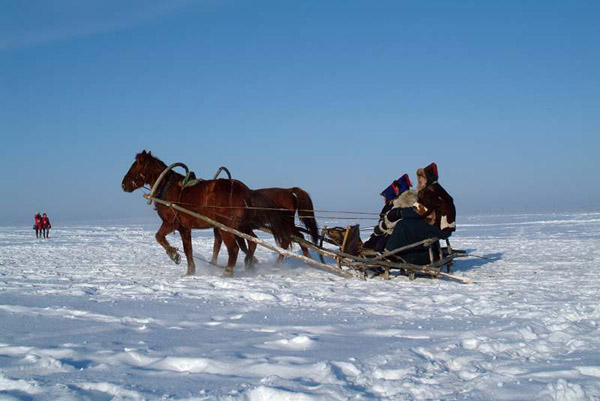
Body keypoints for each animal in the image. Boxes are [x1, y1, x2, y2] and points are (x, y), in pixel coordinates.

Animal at [120, 150, 294, 276]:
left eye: (135, 166)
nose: (123, 184)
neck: (167, 187)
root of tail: (245, 191)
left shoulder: (171, 223)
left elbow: (159, 237)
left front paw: (174, 255)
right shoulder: (184, 228)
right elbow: (188, 249)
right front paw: (190, 271)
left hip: (226, 228)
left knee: (234, 249)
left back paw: (228, 271)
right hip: (241, 226)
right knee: (252, 242)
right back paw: (248, 264)